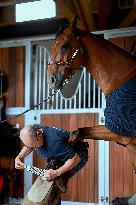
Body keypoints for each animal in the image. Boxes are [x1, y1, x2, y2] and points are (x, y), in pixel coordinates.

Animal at [47, 16, 136, 171]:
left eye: (64, 46)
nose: (51, 80)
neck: (122, 78)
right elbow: (77, 133)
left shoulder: (121, 133)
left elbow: (77, 133)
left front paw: (57, 159)